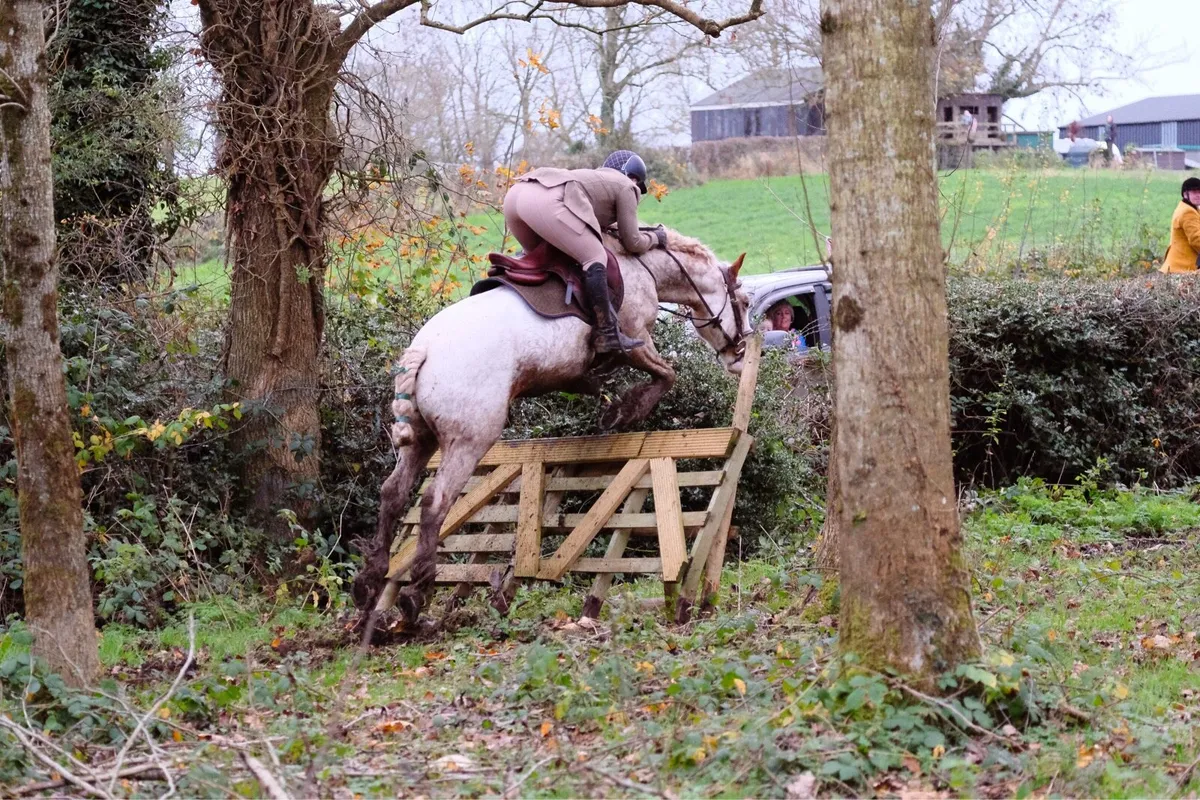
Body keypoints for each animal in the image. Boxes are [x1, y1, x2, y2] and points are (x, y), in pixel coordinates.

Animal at [351, 226, 752, 624]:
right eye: (746, 303)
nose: (740, 354)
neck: (644, 267)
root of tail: (424, 350)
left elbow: (611, 378)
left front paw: (607, 399)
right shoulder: (635, 339)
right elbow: (666, 375)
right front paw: (622, 412)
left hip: (421, 440)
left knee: (393, 493)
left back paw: (369, 583)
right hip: (469, 439)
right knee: (436, 501)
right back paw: (417, 591)